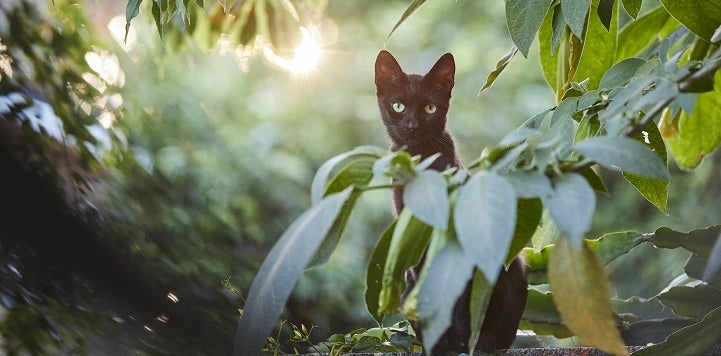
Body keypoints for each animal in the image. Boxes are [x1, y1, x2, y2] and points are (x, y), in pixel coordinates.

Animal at [374, 50, 524, 356]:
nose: (412, 126)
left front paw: (461, 341)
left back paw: (484, 342)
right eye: (398, 106)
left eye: (430, 109)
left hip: (514, 269)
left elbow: (458, 298)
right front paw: (443, 343)